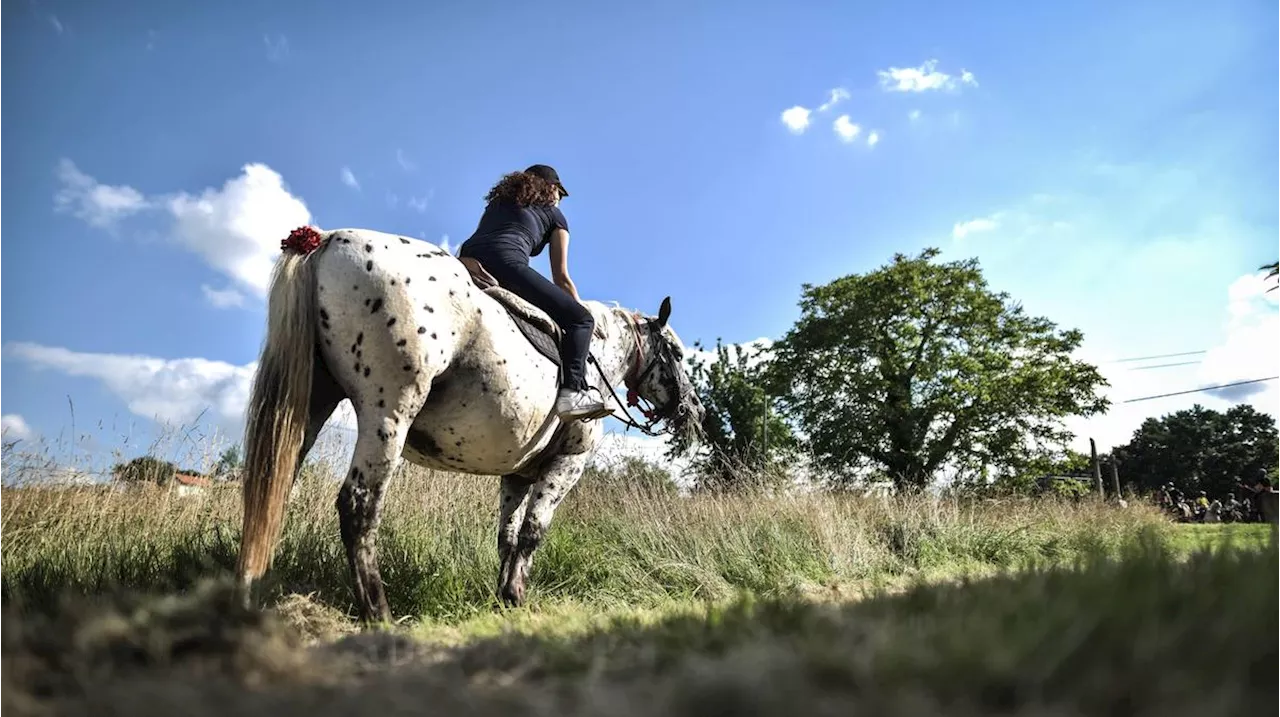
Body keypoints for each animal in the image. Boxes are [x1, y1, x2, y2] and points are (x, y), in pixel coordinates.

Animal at [235, 226, 706, 624]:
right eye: (677, 354)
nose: (694, 411)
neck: (598, 357)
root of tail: (326, 240)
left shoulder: (516, 475)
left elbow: (508, 536)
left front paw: (503, 597)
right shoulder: (568, 463)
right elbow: (533, 532)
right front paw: (516, 596)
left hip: (309, 408)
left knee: (271, 489)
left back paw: (252, 589)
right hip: (388, 414)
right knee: (358, 506)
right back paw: (378, 613)